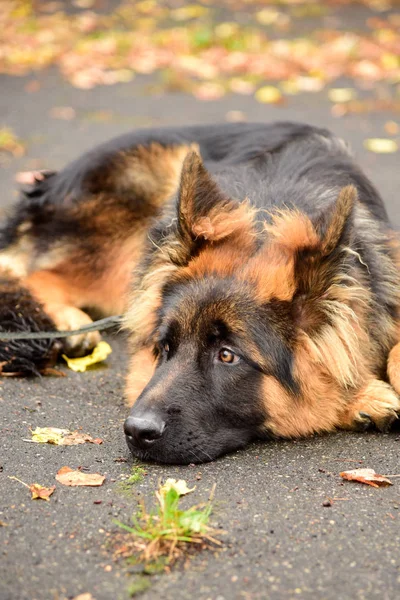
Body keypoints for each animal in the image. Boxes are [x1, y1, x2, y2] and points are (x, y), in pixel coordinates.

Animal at [0, 122, 400, 466]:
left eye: (227, 356)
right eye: (165, 348)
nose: (136, 432)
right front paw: (360, 396)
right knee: (35, 274)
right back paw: (70, 324)